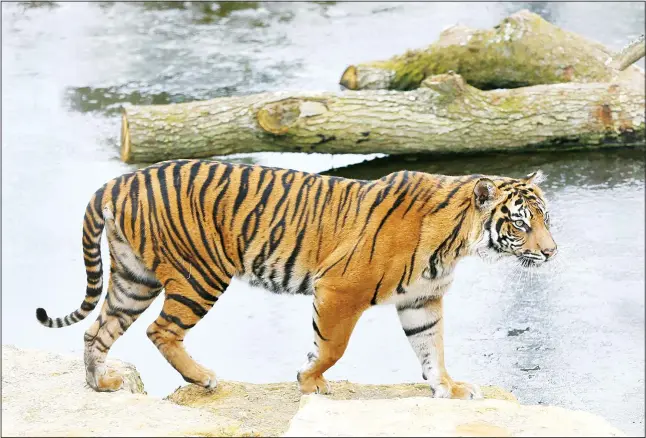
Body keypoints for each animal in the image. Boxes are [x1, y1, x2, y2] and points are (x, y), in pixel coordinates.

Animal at [38, 159, 560, 398]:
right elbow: (332, 347)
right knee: (160, 330)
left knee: (98, 329)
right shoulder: (340, 289)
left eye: (546, 218)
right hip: (198, 274)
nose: (552, 251)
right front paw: (309, 380)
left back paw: (101, 384)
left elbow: (432, 348)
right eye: (521, 223)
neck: (457, 241)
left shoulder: (423, 301)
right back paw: (204, 378)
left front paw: (447, 387)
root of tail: (118, 180)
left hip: (134, 278)